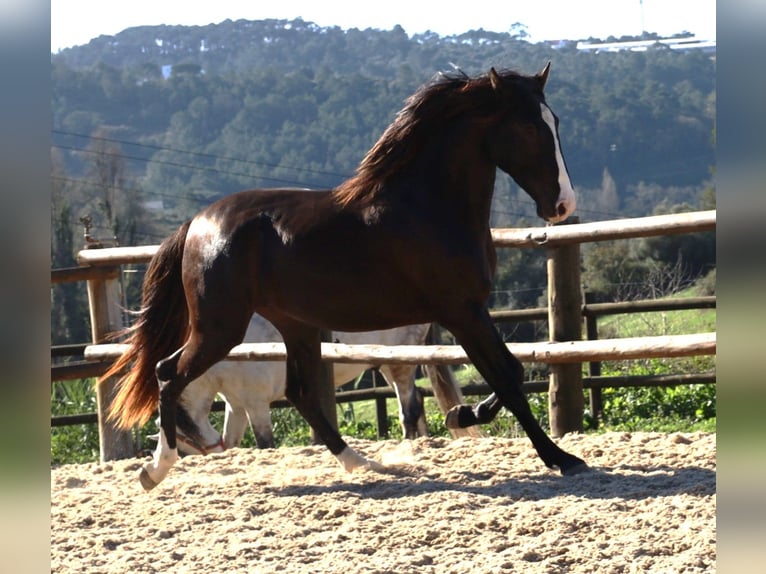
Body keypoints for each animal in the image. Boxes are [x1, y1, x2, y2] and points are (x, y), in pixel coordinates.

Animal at [174, 318, 476, 456]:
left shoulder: (256, 404)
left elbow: (265, 444)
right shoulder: (236, 406)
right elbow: (234, 444)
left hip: (400, 366)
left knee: (409, 411)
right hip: (389, 364)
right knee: (417, 404)